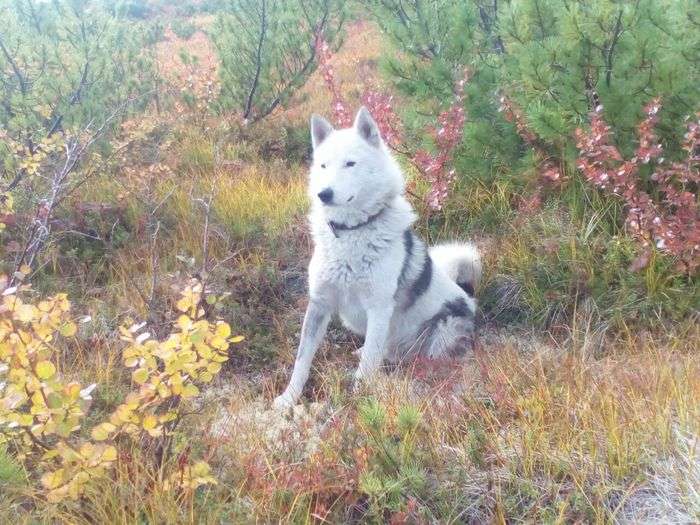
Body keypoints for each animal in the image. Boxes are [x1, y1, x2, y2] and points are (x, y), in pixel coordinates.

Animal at [274, 107, 482, 410]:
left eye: (350, 163)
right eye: (323, 166)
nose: (323, 194)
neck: (351, 233)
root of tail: (469, 295)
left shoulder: (379, 307)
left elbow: (368, 364)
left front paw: (359, 399)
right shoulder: (319, 304)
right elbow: (302, 361)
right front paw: (289, 397)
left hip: (440, 336)